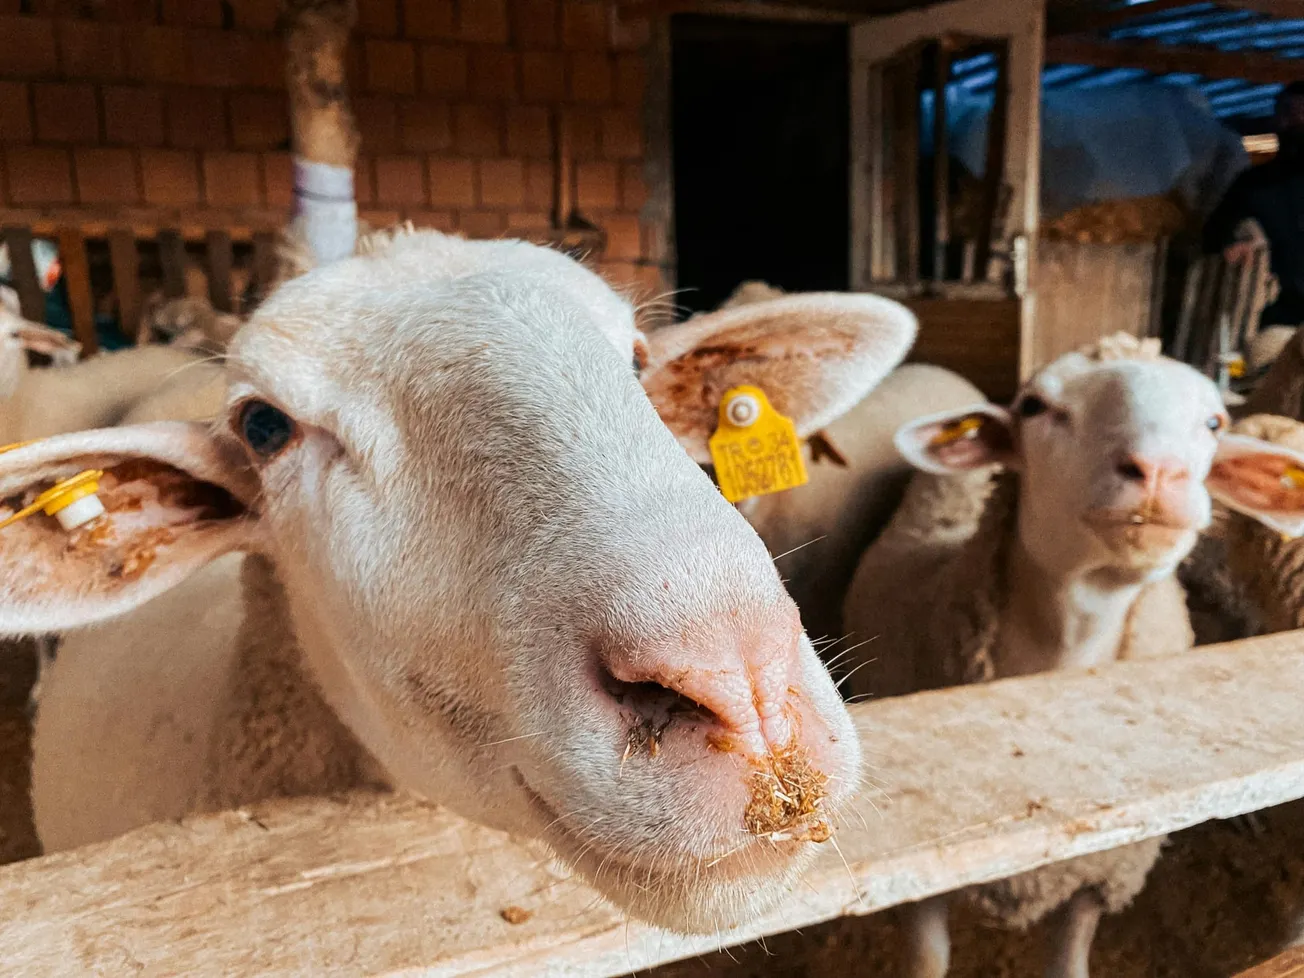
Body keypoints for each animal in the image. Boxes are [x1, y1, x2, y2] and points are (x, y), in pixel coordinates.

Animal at [841, 333, 1303, 978]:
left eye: (1214, 423)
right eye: (1034, 406)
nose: (1159, 471)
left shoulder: (1097, 874)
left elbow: (1070, 958)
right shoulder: (920, 884)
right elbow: (930, 959)